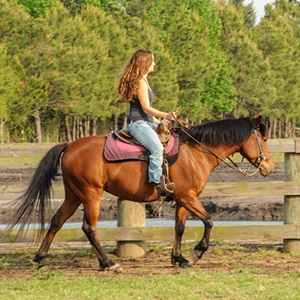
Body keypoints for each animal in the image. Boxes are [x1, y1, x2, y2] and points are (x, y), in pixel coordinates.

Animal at [2, 115, 274, 270]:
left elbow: (180, 227)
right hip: (91, 194)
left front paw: (179, 258)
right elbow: (209, 220)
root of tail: (69, 145)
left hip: (73, 194)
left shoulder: (183, 199)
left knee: (57, 221)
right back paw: (108, 263)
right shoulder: (188, 196)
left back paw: (40, 258)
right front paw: (197, 251)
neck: (196, 152)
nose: (269, 167)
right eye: (263, 139)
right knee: (89, 228)